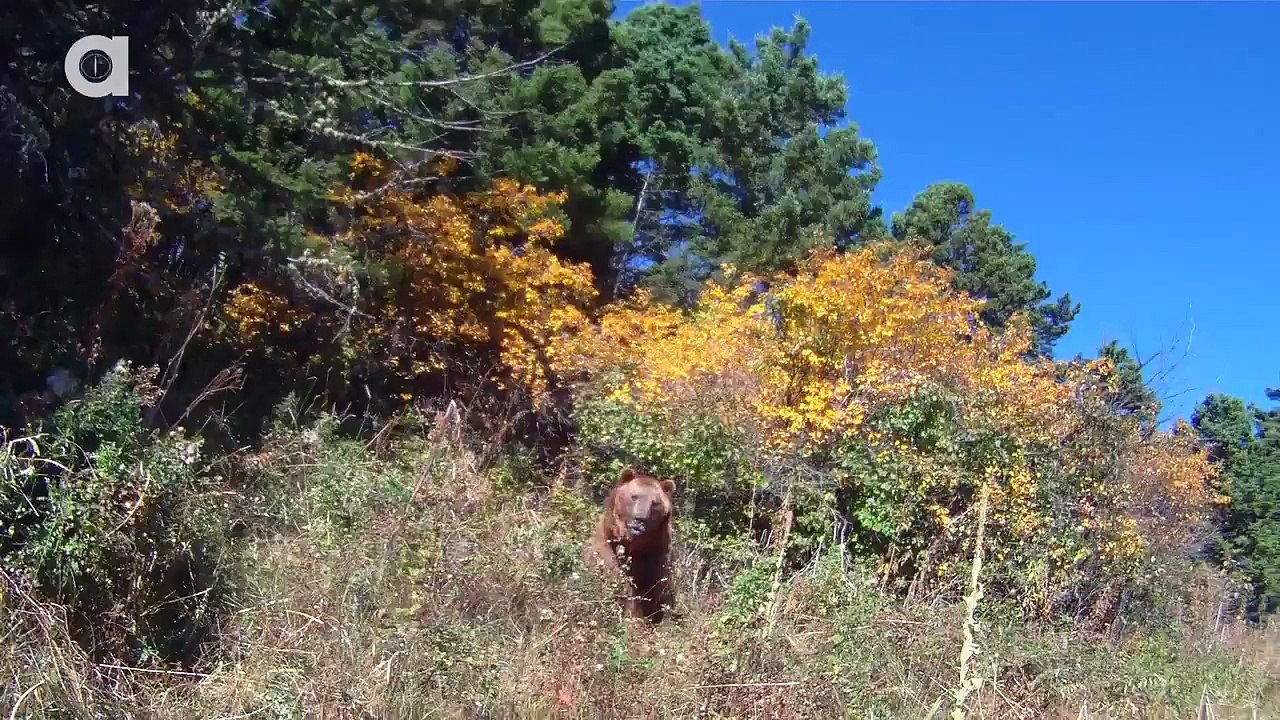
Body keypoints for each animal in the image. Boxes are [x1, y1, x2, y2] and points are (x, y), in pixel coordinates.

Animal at [581, 467, 677, 622]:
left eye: (655, 503)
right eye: (634, 496)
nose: (640, 519)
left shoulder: (656, 556)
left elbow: (652, 591)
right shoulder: (608, 548)